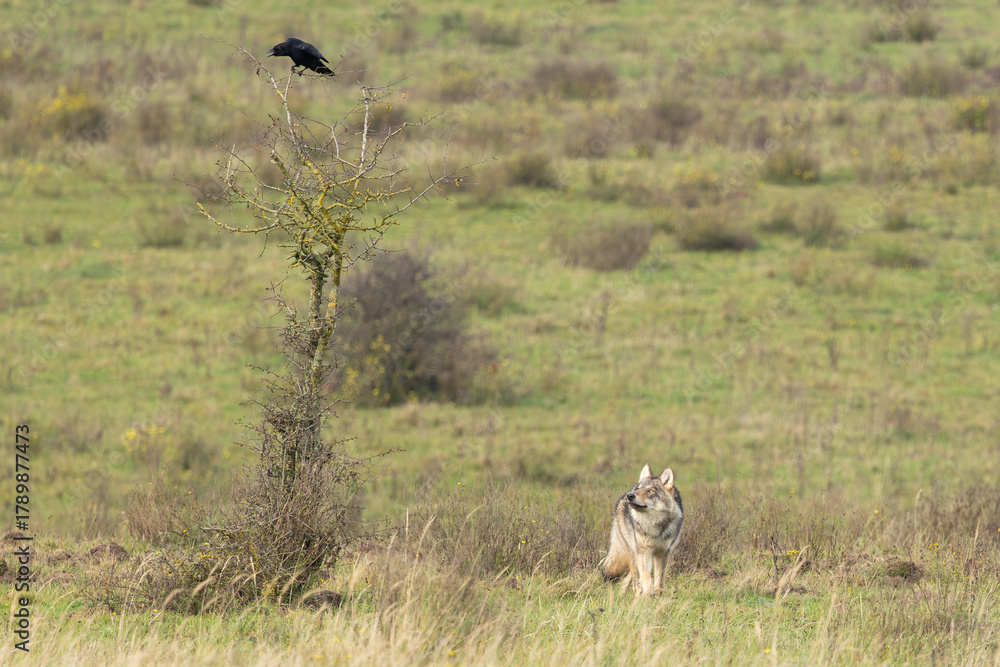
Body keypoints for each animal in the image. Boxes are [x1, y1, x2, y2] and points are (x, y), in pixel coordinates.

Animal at [599, 464, 684, 596]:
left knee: (628, 579)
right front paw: (648, 593)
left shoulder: (663, 553)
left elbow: (659, 580)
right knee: (634, 580)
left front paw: (657, 594)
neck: (655, 527)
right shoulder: (644, 552)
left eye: (650, 490)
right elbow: (646, 576)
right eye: (638, 489)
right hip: (633, 553)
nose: (630, 495)